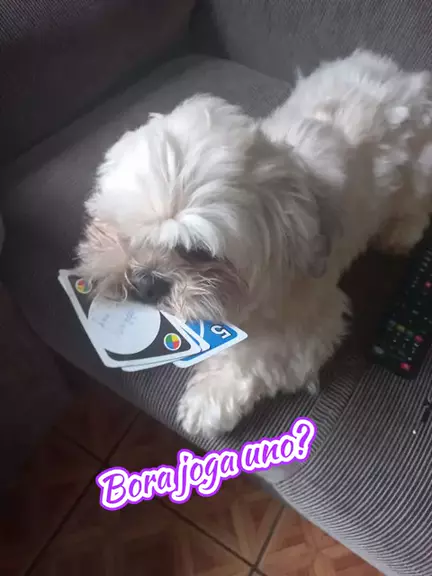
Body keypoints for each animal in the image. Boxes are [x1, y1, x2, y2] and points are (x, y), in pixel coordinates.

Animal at [77, 50, 432, 437]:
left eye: (198, 252)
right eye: (124, 235)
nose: (147, 281)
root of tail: (410, 83)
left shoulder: (309, 327)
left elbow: (254, 359)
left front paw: (208, 401)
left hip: (417, 176)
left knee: (416, 208)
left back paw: (399, 233)